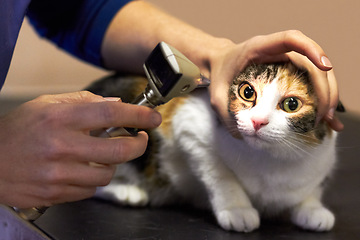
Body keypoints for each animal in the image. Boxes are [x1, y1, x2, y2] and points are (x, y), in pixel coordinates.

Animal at [87, 62, 340, 232]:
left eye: (291, 104)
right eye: (248, 92)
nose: (258, 121)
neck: (270, 159)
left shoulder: (322, 161)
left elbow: (312, 189)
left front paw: (313, 209)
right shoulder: (189, 127)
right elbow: (221, 175)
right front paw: (237, 209)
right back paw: (127, 192)